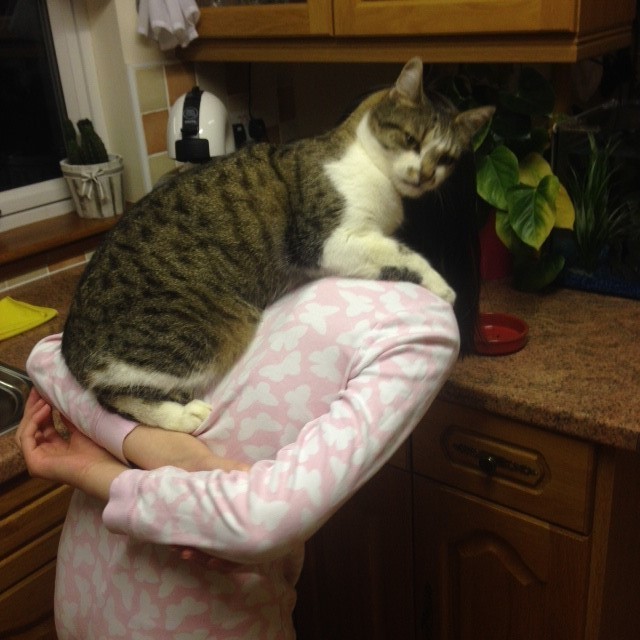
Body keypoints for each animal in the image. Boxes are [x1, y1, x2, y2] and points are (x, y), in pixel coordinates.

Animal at [61, 57, 494, 433]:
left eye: (446, 158)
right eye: (410, 139)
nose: (425, 176)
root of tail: (71, 344)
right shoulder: (327, 240)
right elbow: (403, 253)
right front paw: (443, 287)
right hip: (210, 331)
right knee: (110, 394)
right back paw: (182, 416)